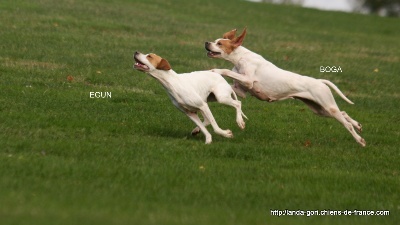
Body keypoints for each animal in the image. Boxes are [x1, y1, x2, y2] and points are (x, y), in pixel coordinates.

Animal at [206, 28, 366, 147]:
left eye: (219, 43)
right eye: (215, 41)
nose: (206, 42)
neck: (240, 57)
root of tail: (319, 81)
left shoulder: (249, 80)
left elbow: (226, 71)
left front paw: (215, 70)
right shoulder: (241, 91)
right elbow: (234, 89)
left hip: (327, 106)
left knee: (346, 123)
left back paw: (360, 140)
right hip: (320, 109)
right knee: (343, 113)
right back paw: (358, 125)